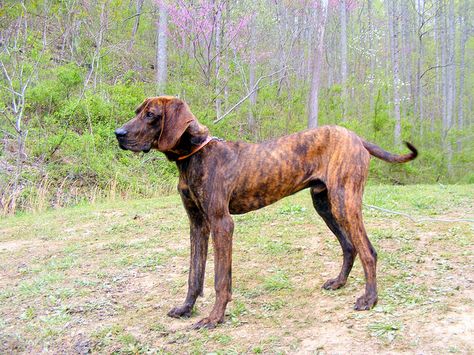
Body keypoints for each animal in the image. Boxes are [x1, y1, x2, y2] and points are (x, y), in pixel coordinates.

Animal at [115, 96, 418, 330]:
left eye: (151, 115)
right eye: (137, 111)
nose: (118, 134)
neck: (194, 155)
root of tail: (357, 138)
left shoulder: (221, 224)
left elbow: (220, 280)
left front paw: (215, 318)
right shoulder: (198, 225)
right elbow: (194, 275)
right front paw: (186, 308)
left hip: (345, 202)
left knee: (368, 251)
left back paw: (370, 299)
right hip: (324, 204)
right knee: (349, 245)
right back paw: (339, 283)